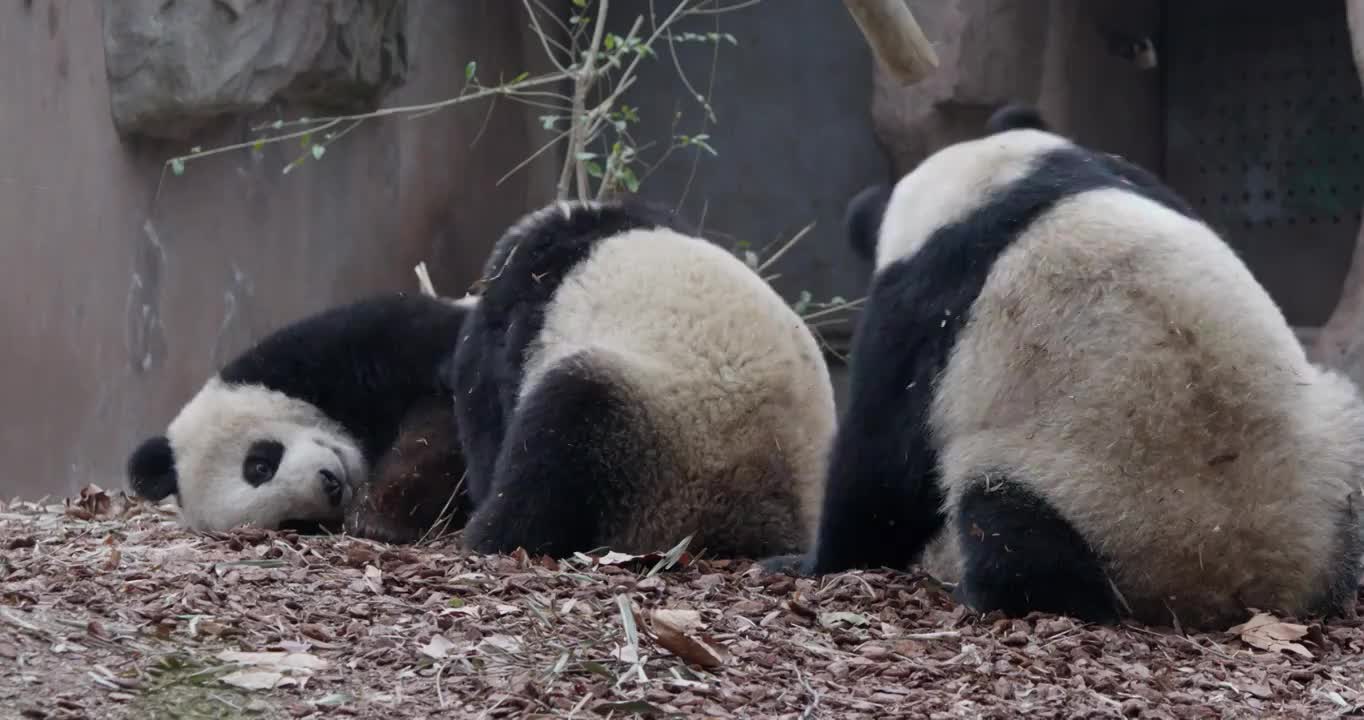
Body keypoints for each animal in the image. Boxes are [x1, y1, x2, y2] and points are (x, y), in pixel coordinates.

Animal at [763, 102, 1364, 630]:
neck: (991, 188)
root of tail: (1247, 581)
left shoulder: (922, 302)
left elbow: (884, 458)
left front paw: (809, 562)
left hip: (1084, 498)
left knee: (1007, 529)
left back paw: (987, 593)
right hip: (1334, 451)